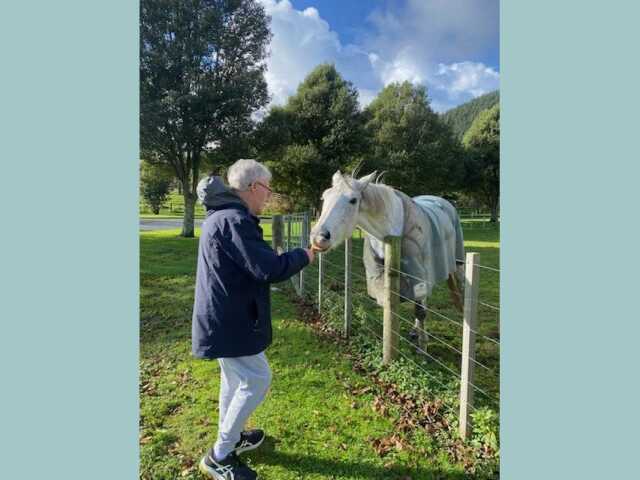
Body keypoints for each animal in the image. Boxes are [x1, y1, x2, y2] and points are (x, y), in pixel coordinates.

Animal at [308, 171, 462, 350]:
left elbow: (420, 311)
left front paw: (423, 347)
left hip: (457, 263)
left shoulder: (419, 277)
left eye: (353, 200)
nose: (318, 238)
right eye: (324, 197)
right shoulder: (381, 279)